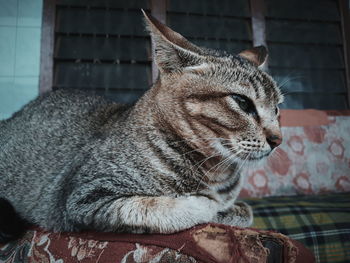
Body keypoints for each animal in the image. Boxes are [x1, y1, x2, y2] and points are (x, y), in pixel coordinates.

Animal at [0, 10, 284, 243]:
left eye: (277, 108)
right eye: (242, 102)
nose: (277, 139)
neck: (215, 173)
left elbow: (244, 211)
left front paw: (227, 210)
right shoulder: (83, 197)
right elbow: (162, 207)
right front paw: (206, 206)